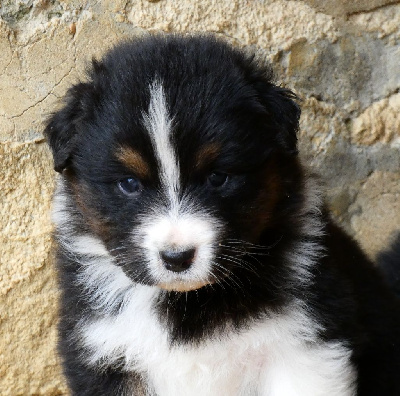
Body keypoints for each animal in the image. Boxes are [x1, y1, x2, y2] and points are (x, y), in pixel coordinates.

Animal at [45, 35, 400, 394]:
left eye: (218, 177)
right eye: (129, 183)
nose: (177, 258)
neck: (189, 301)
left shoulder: (304, 346)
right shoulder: (105, 351)